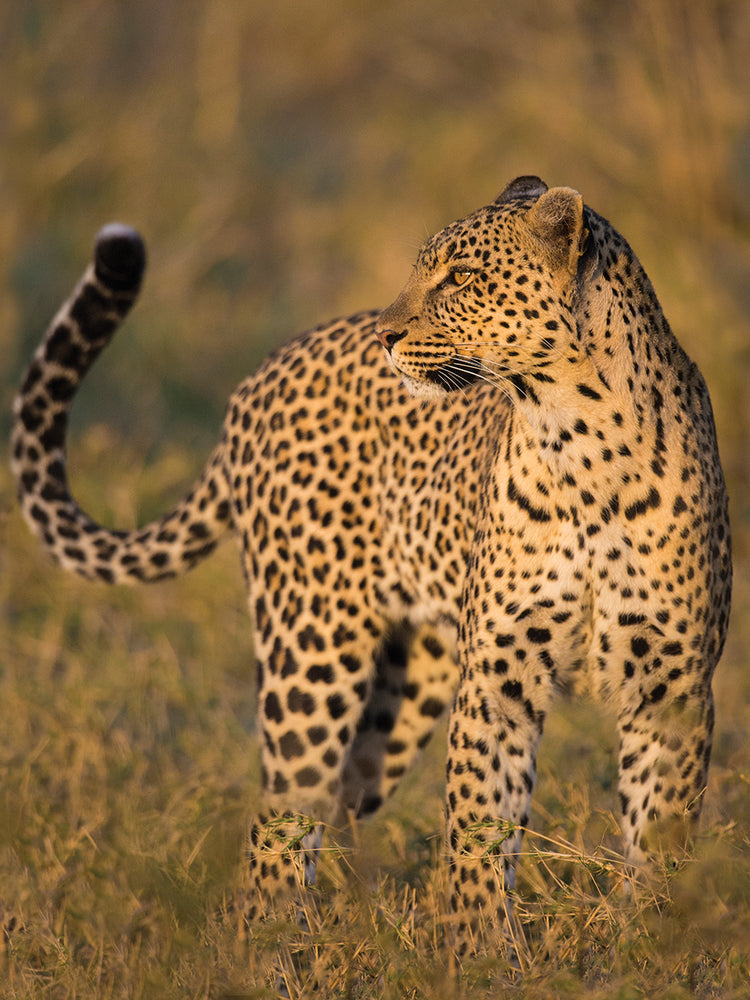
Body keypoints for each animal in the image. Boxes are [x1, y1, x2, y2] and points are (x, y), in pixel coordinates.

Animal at [11, 176, 732, 958]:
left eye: (462, 278)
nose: (386, 337)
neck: (580, 443)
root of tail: (261, 373)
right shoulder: (497, 678)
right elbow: (480, 824)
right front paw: (483, 954)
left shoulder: (672, 687)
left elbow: (659, 834)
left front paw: (651, 945)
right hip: (312, 652)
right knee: (277, 822)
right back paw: (278, 951)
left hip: (408, 684)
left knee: (339, 803)